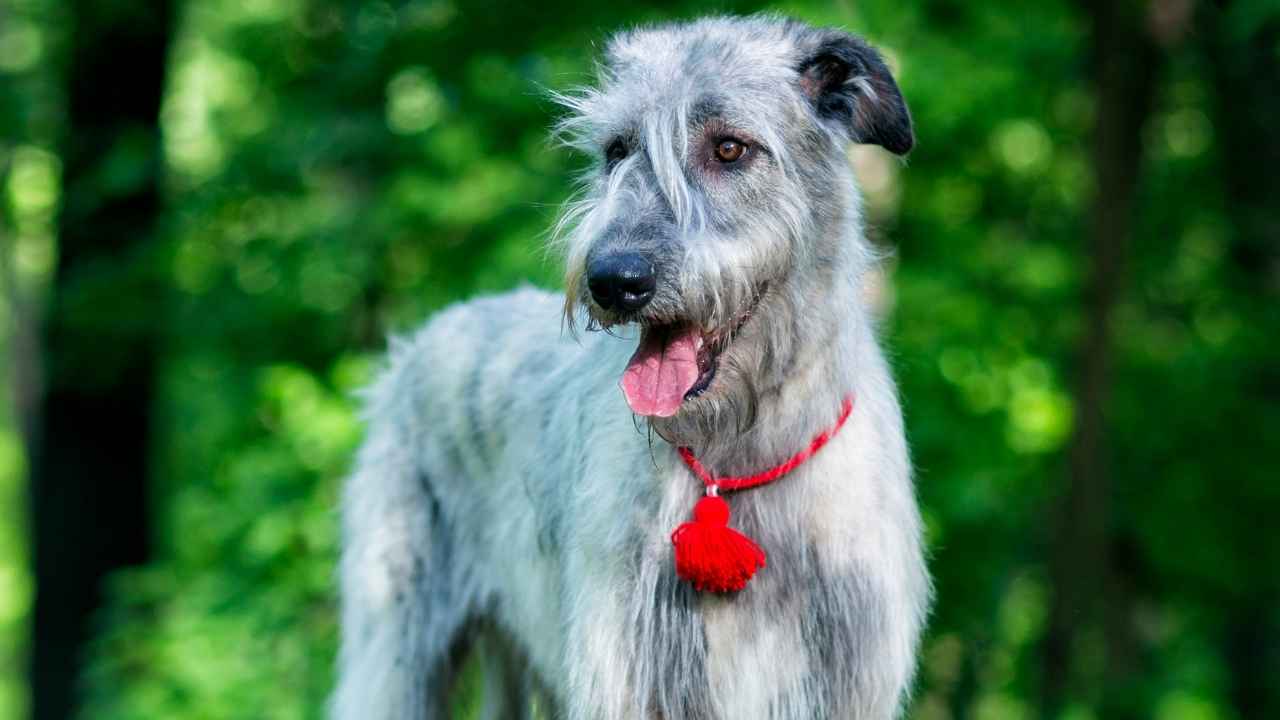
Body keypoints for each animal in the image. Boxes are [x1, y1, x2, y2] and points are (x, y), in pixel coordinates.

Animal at [330, 16, 931, 717]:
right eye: (618, 148)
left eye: (731, 148)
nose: (614, 280)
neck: (739, 459)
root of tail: (426, 337)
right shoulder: (623, 671)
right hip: (396, 645)